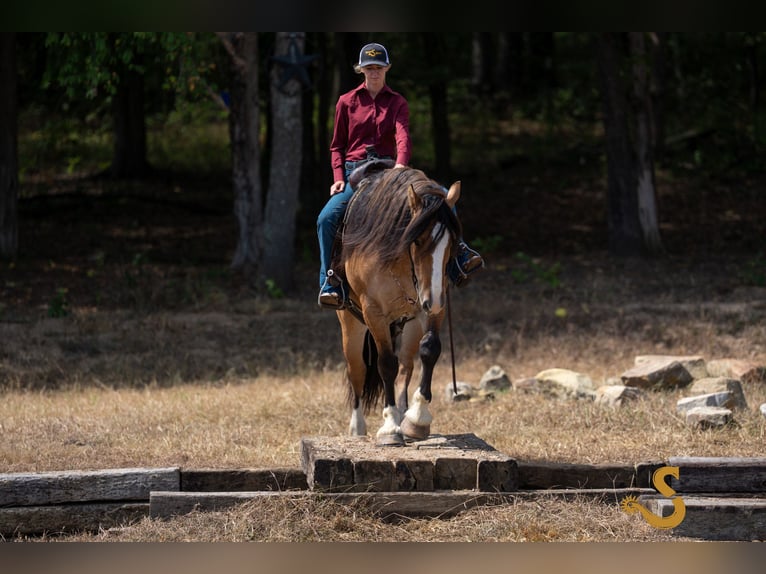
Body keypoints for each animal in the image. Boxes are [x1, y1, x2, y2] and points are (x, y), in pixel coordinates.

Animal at [332, 161, 463, 446]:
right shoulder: (374, 313)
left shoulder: (433, 305)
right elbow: (385, 364)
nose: (433, 301)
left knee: (406, 365)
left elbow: (430, 349)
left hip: (410, 323)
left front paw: (416, 419)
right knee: (357, 370)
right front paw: (390, 428)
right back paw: (358, 428)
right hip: (350, 325)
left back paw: (405, 414)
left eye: (453, 242)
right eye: (417, 239)